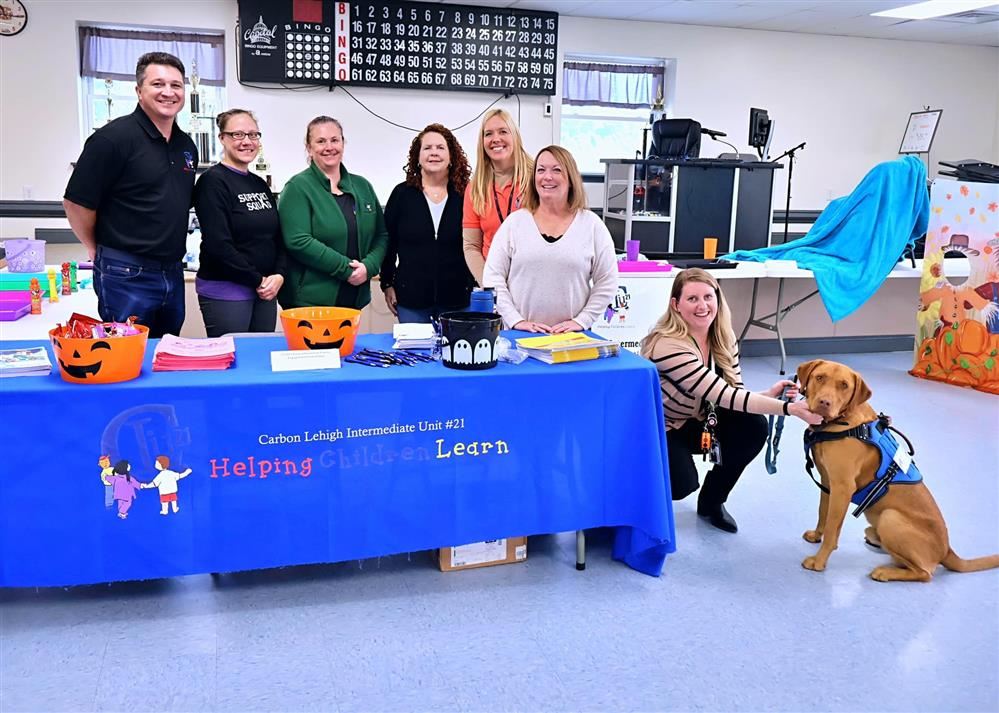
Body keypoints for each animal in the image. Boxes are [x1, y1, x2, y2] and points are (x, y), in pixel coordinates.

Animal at [792, 358, 996, 580]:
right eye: (819, 377)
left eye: (844, 385)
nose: (824, 403)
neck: (844, 423)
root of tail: (947, 550)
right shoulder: (828, 482)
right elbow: (823, 513)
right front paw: (816, 535)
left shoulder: (842, 487)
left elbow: (832, 529)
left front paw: (819, 561)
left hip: (890, 518)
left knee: (925, 573)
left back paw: (885, 572)